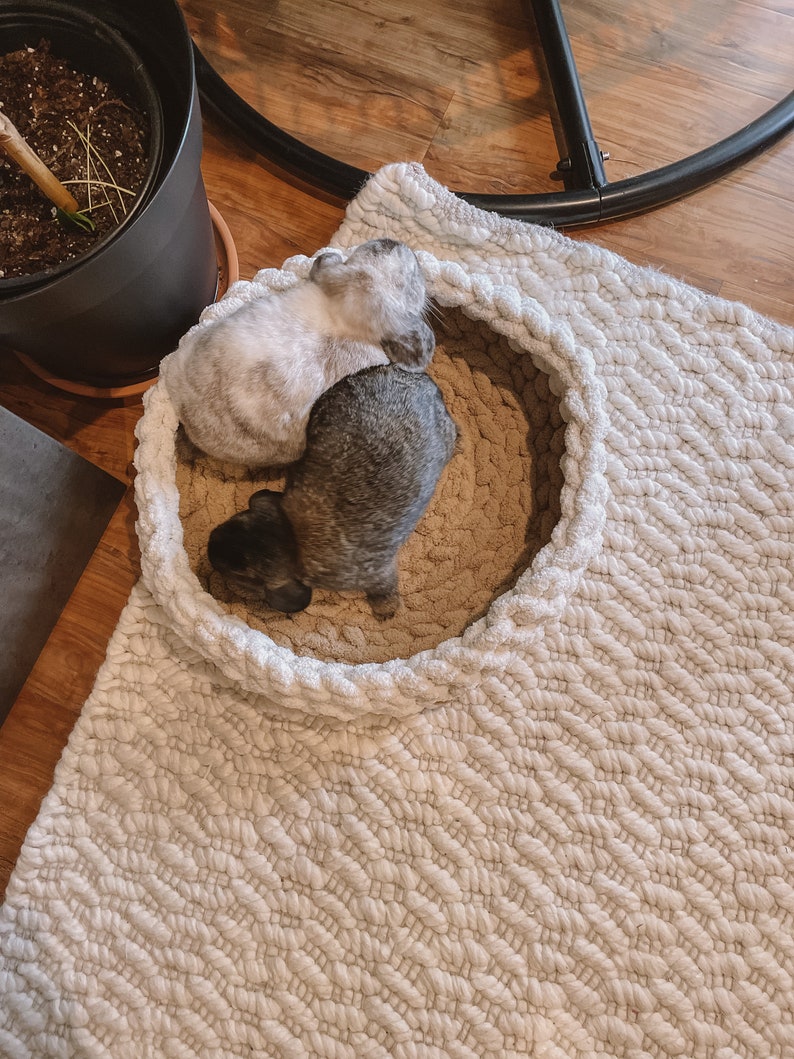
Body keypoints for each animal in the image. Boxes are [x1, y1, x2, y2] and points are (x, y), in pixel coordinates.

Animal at [207, 363, 458, 619]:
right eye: (237, 520)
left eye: (240, 574)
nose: (211, 541)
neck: (292, 538)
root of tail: (421, 381)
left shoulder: (376, 573)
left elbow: (384, 587)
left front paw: (386, 611)